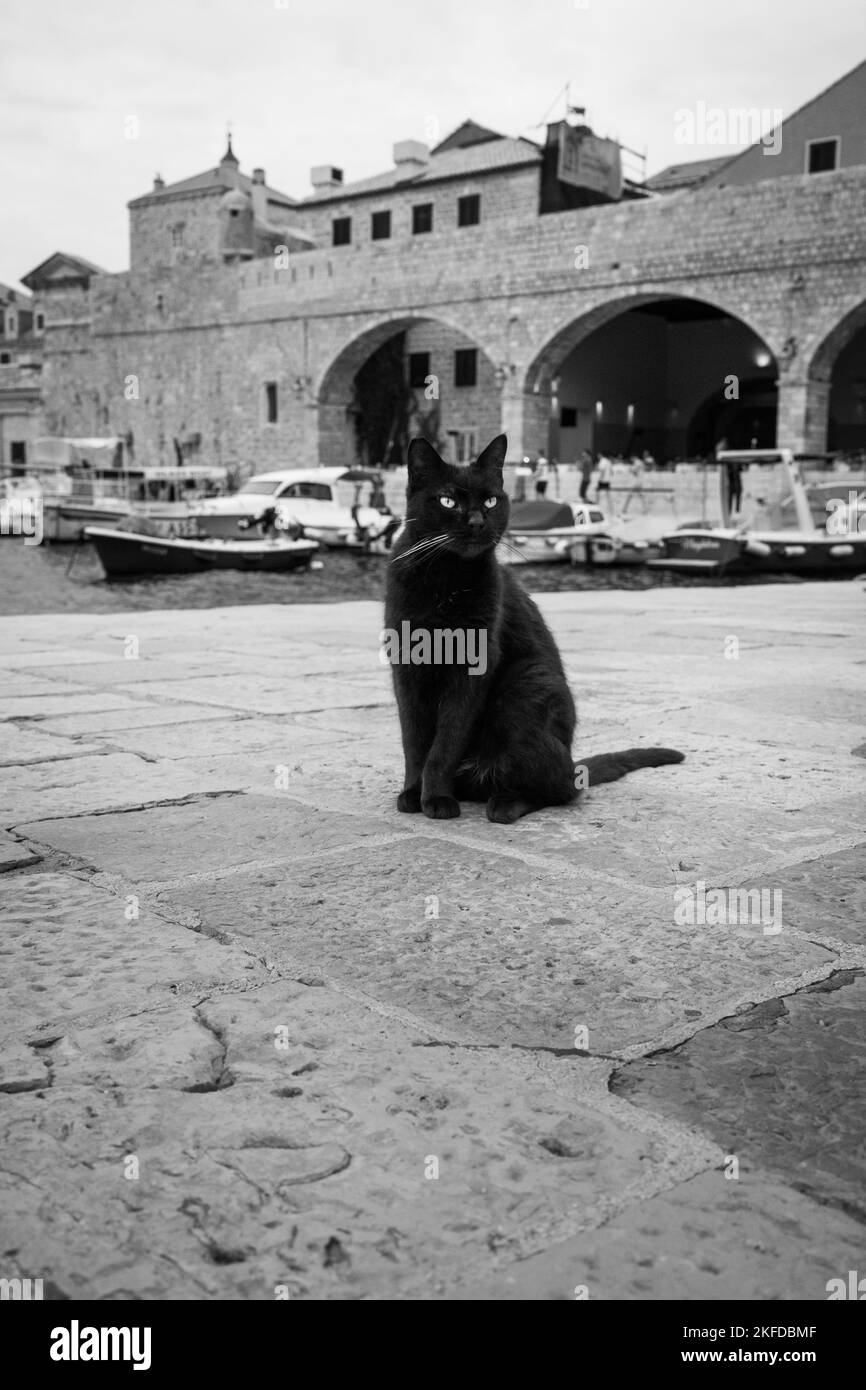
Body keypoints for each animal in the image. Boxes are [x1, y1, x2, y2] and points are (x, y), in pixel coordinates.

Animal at [383, 433, 681, 817]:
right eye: (448, 501)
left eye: (491, 500)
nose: (477, 521)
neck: (444, 581)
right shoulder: (405, 667)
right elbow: (414, 740)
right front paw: (412, 792)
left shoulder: (472, 669)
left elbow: (446, 742)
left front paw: (435, 798)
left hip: (526, 688)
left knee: (560, 789)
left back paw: (505, 804)